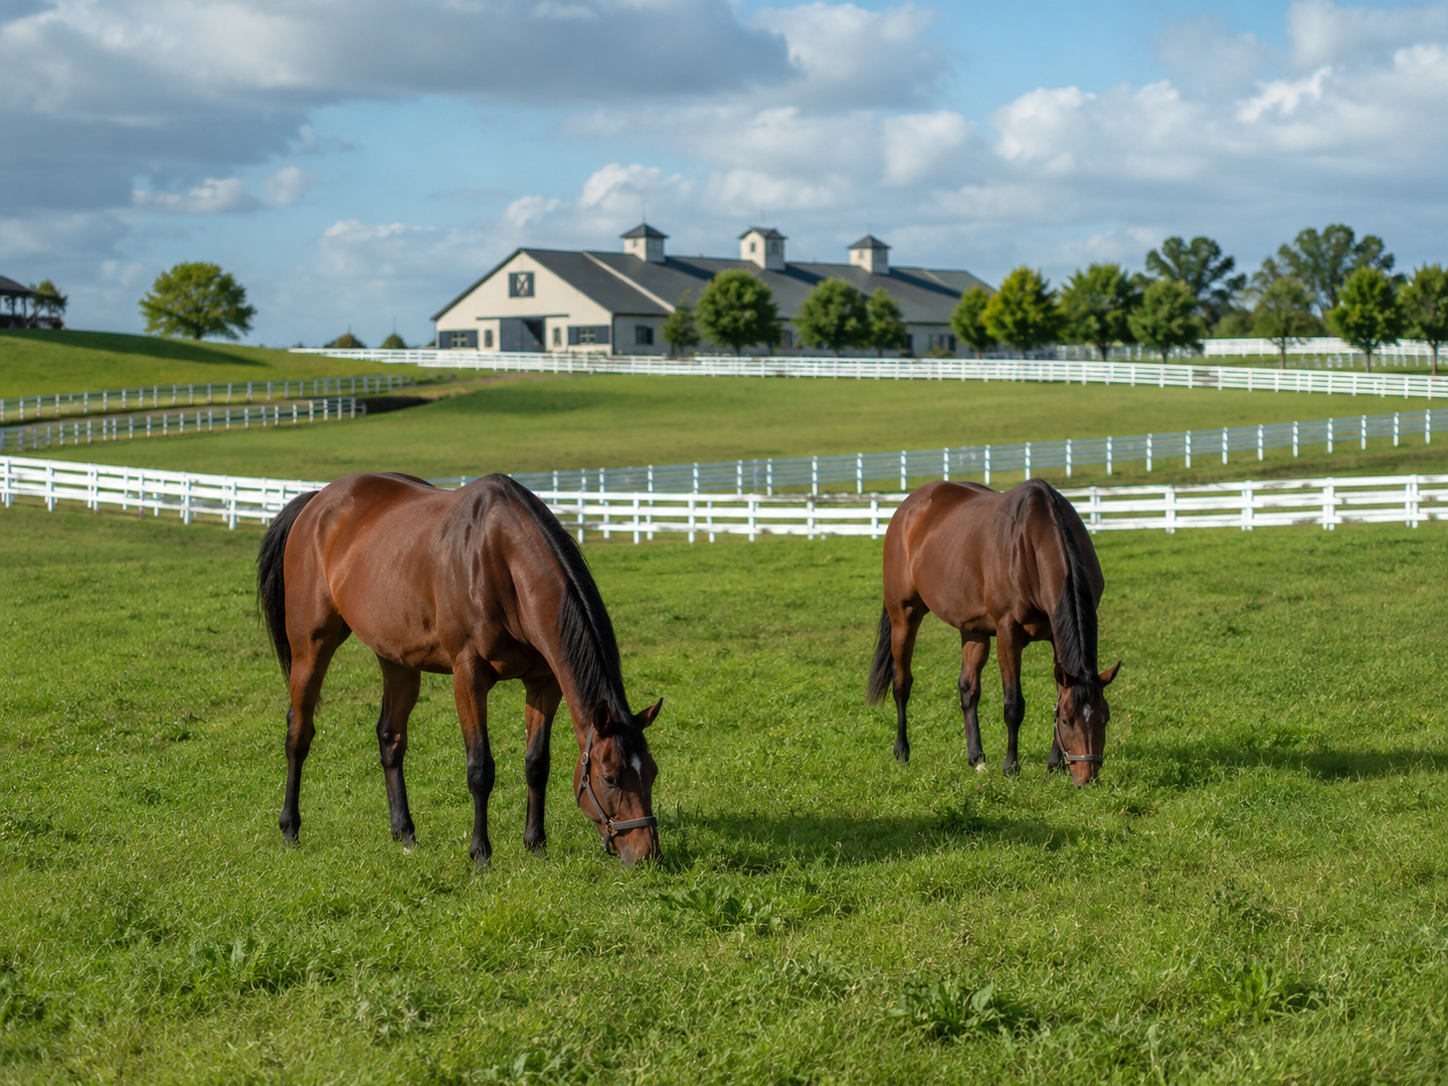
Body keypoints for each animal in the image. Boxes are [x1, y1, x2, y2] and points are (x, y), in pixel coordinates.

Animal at [255, 472, 663, 867]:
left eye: (653, 771)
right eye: (610, 778)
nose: (647, 855)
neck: (501, 559)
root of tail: (317, 501)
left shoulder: (543, 682)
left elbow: (536, 763)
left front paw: (535, 844)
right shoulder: (469, 677)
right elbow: (480, 768)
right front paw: (480, 852)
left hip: (397, 659)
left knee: (390, 737)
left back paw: (404, 832)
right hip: (311, 648)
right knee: (299, 733)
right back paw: (290, 829)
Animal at [866, 479, 1119, 785]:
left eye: (1105, 719)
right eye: (1068, 721)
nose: (1086, 777)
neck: (1035, 539)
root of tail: (907, 507)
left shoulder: (1056, 638)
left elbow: (1059, 692)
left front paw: (1054, 763)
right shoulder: (1008, 633)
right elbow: (1013, 705)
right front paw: (1011, 766)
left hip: (972, 628)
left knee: (968, 689)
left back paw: (976, 756)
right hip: (904, 615)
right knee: (902, 683)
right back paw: (902, 751)